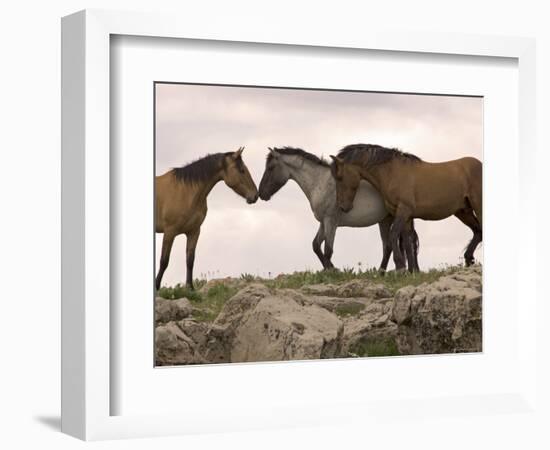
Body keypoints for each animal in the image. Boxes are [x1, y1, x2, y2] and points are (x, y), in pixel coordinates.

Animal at [155, 146, 258, 290]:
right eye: (242, 170)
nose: (255, 195)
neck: (185, 191)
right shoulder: (170, 231)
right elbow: (164, 261)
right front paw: (156, 286)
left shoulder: (194, 231)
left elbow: (190, 260)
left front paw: (190, 288)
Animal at [260, 148, 420, 272]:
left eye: (270, 168)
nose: (261, 194)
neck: (321, 183)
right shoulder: (323, 222)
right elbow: (316, 246)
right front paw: (330, 268)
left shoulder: (331, 221)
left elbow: (328, 249)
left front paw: (332, 271)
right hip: (386, 220)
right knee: (393, 245)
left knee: (403, 242)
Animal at [332, 144, 484, 270]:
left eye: (339, 177)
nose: (342, 206)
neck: (392, 172)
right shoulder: (407, 216)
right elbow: (407, 241)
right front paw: (412, 270)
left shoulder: (404, 211)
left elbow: (394, 234)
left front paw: (400, 266)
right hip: (463, 211)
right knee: (478, 231)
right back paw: (468, 259)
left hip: (478, 206)